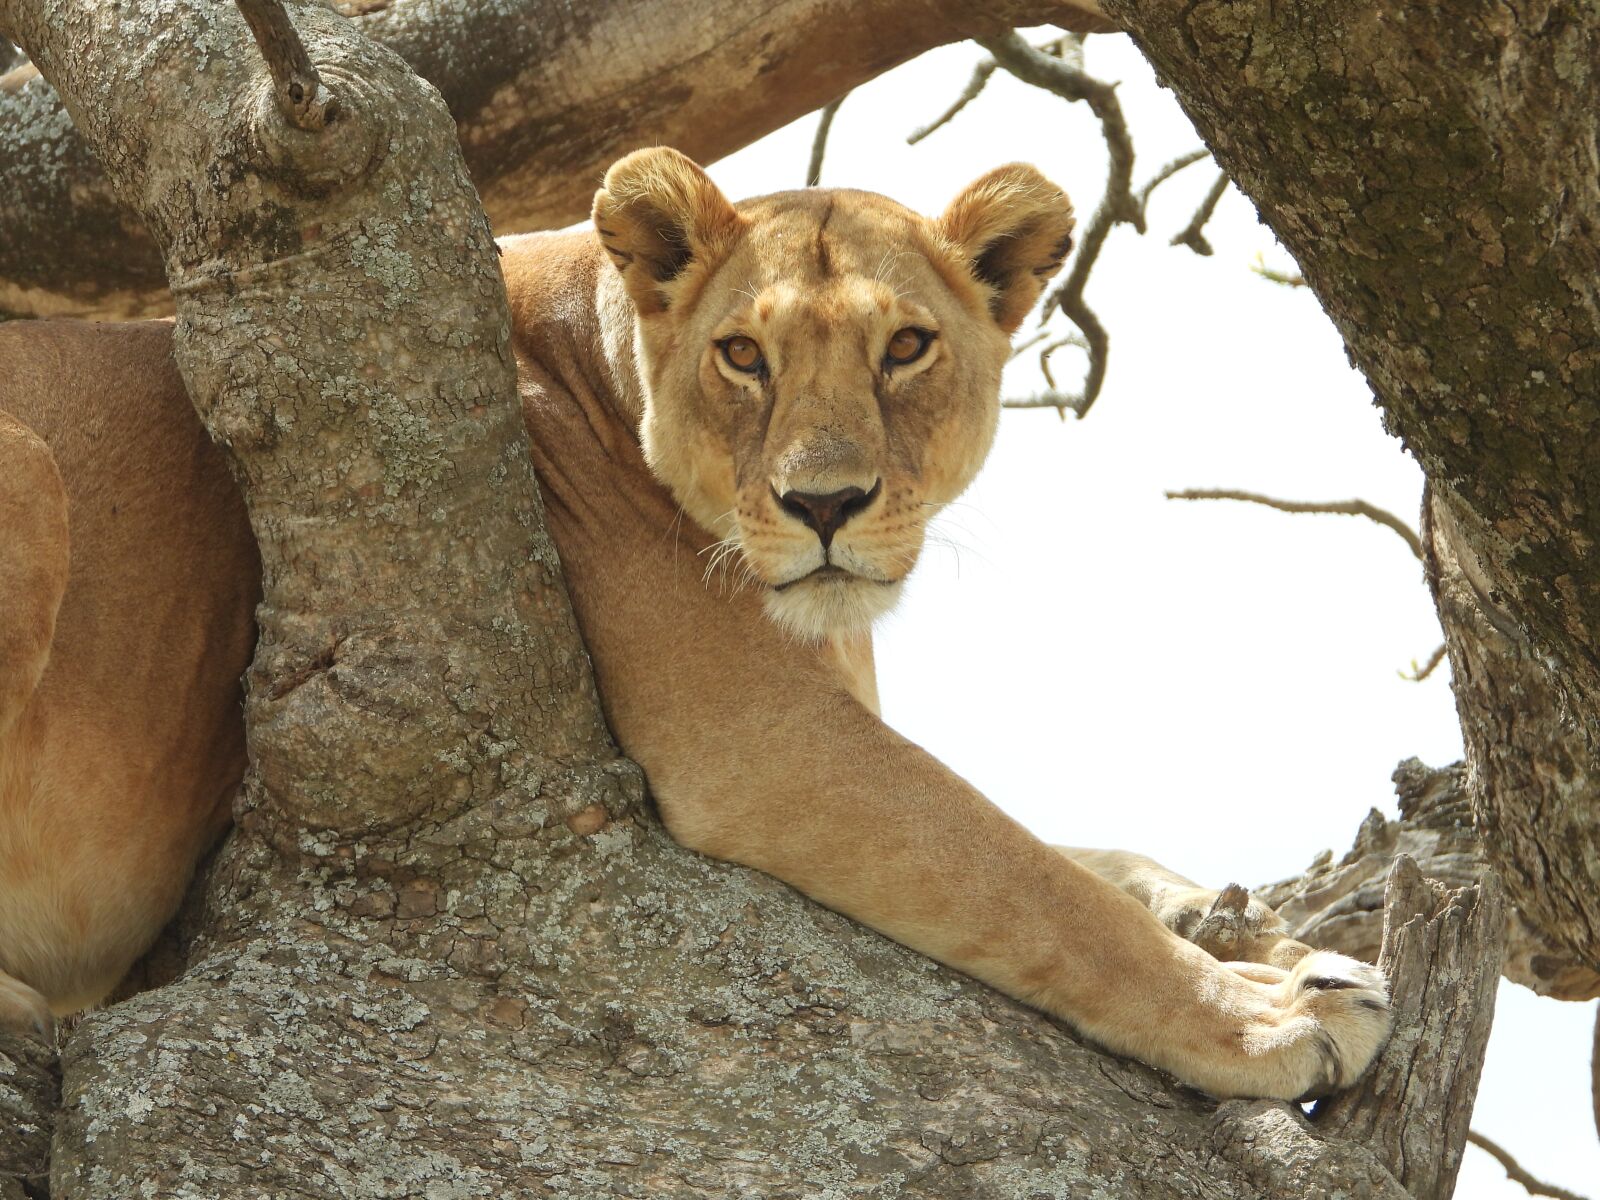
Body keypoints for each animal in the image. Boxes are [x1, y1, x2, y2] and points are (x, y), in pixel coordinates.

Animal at [0, 148, 1389, 1099]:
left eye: (905, 347)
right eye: (742, 356)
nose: (824, 504)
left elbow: (1081, 851)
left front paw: (1252, 925)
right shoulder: (757, 742)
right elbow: (1031, 880)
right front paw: (1272, 1017)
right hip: (33, 465)